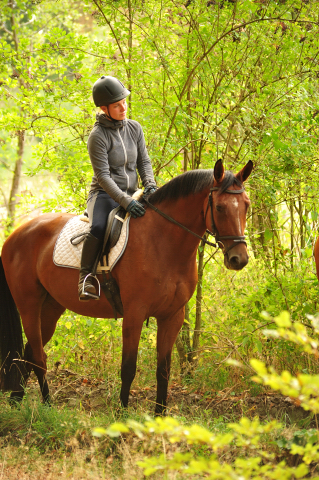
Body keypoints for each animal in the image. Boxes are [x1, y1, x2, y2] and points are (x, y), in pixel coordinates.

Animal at [0, 159, 255, 414]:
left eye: (246, 205)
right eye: (219, 207)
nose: (239, 259)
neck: (163, 242)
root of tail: (15, 233)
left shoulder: (172, 316)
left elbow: (163, 370)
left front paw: (160, 415)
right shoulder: (135, 314)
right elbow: (128, 367)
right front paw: (122, 413)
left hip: (52, 307)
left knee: (30, 353)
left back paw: (17, 401)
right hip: (29, 306)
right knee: (38, 357)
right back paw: (47, 405)